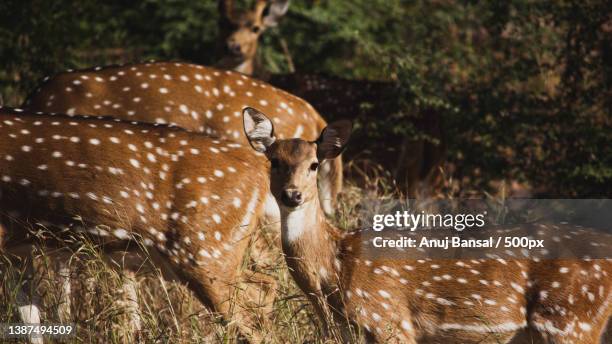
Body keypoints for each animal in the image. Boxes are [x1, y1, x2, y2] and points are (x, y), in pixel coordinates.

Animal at [243, 107, 612, 344]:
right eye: (274, 162)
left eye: (314, 165)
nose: (292, 194)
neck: (333, 274)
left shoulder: (390, 320)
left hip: (570, 320)